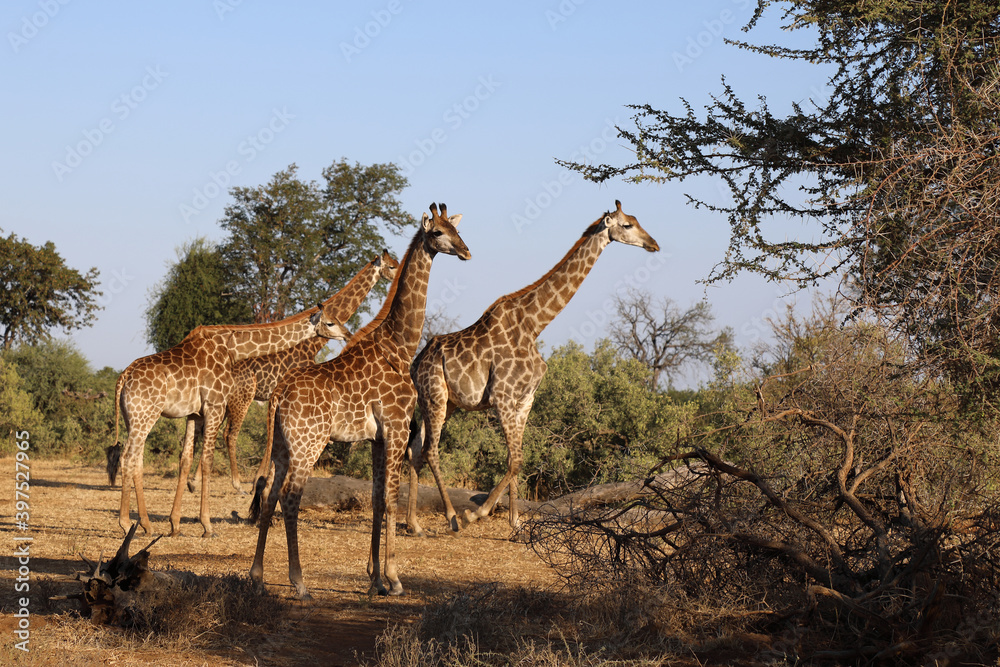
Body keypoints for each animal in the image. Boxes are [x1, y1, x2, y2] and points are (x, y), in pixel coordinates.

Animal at [108, 292, 351, 538]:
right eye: (330, 322)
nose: (347, 334)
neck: (232, 348)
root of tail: (123, 377)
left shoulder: (195, 414)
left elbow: (185, 459)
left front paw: (174, 524)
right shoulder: (214, 405)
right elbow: (207, 459)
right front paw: (207, 525)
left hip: (133, 418)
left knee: (136, 459)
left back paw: (146, 524)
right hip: (145, 415)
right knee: (128, 457)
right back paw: (126, 523)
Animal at [185, 250, 399, 495]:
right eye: (392, 266)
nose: (399, 275)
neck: (311, 345)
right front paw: (258, 481)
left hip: (224, 401)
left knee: (209, 432)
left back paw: (194, 482)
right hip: (242, 397)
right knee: (229, 434)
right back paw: (235, 484)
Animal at [249, 203, 470, 599]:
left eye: (457, 229)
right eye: (438, 233)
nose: (466, 251)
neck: (400, 345)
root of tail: (277, 395)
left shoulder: (377, 438)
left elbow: (378, 499)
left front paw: (375, 579)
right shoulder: (397, 427)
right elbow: (392, 499)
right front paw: (394, 580)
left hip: (282, 447)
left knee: (271, 496)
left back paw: (257, 577)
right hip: (309, 443)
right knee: (290, 497)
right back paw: (299, 583)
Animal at [406, 200, 659, 536]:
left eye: (637, 220)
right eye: (627, 225)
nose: (654, 244)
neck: (534, 324)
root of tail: (416, 362)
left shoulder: (525, 400)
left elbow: (517, 459)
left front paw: (515, 525)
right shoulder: (502, 397)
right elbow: (515, 459)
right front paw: (477, 514)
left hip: (440, 403)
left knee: (415, 450)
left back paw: (412, 523)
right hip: (435, 397)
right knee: (430, 451)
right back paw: (452, 518)